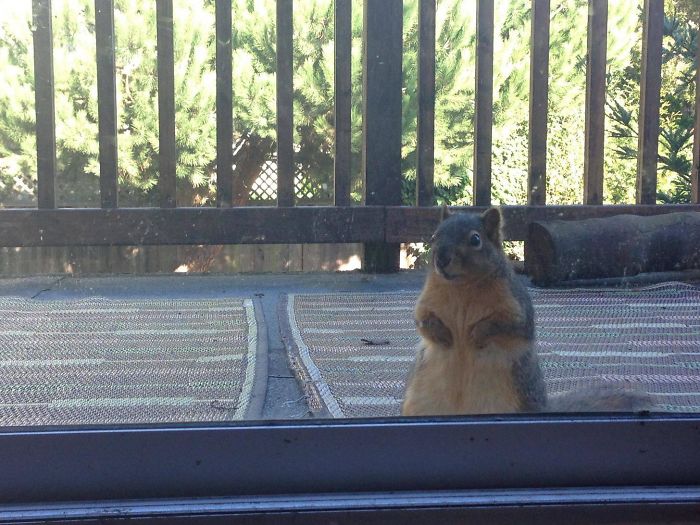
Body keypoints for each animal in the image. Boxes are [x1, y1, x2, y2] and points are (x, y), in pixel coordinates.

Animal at [401, 207, 652, 416]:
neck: (461, 287)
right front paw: (442, 334)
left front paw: (477, 333)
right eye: (434, 236)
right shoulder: (426, 303)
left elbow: (507, 325)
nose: (441, 259)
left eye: (475, 239)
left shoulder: (517, 307)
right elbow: (422, 321)